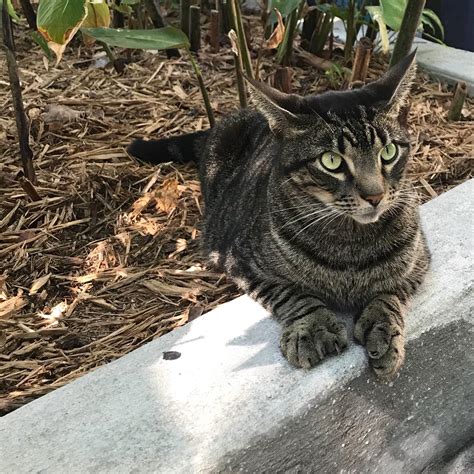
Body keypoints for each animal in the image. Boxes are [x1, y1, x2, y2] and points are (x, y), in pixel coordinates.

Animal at [129, 51, 430, 378]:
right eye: (331, 161)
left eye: (388, 152)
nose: (374, 196)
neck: (350, 245)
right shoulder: (243, 262)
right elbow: (294, 294)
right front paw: (314, 327)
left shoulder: (420, 261)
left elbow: (390, 294)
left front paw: (383, 329)